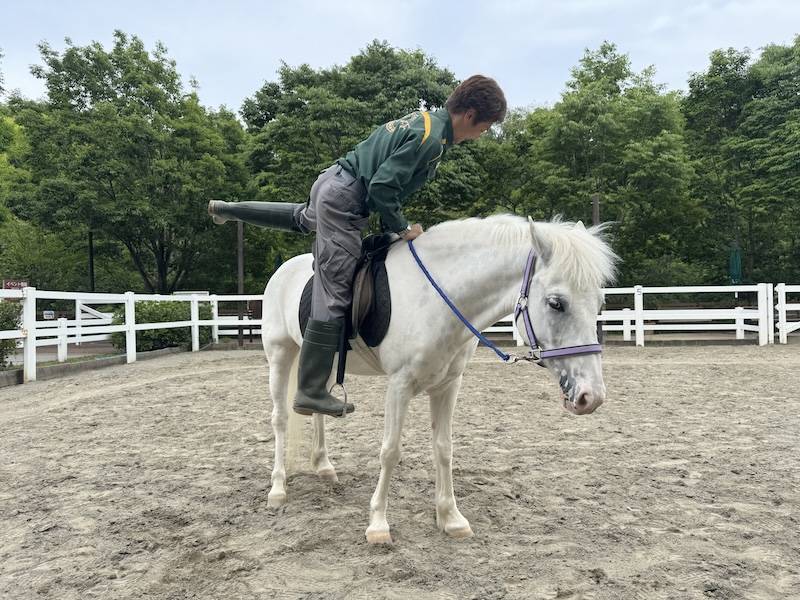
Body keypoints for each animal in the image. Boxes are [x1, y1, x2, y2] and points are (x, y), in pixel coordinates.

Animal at [259, 214, 618, 544]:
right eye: (556, 303)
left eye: (600, 302)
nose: (592, 397)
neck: (437, 299)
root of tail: (284, 270)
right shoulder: (399, 386)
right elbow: (390, 451)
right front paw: (378, 524)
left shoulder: (448, 385)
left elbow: (444, 448)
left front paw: (450, 518)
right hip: (280, 355)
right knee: (280, 419)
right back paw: (277, 489)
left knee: (315, 408)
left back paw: (323, 466)